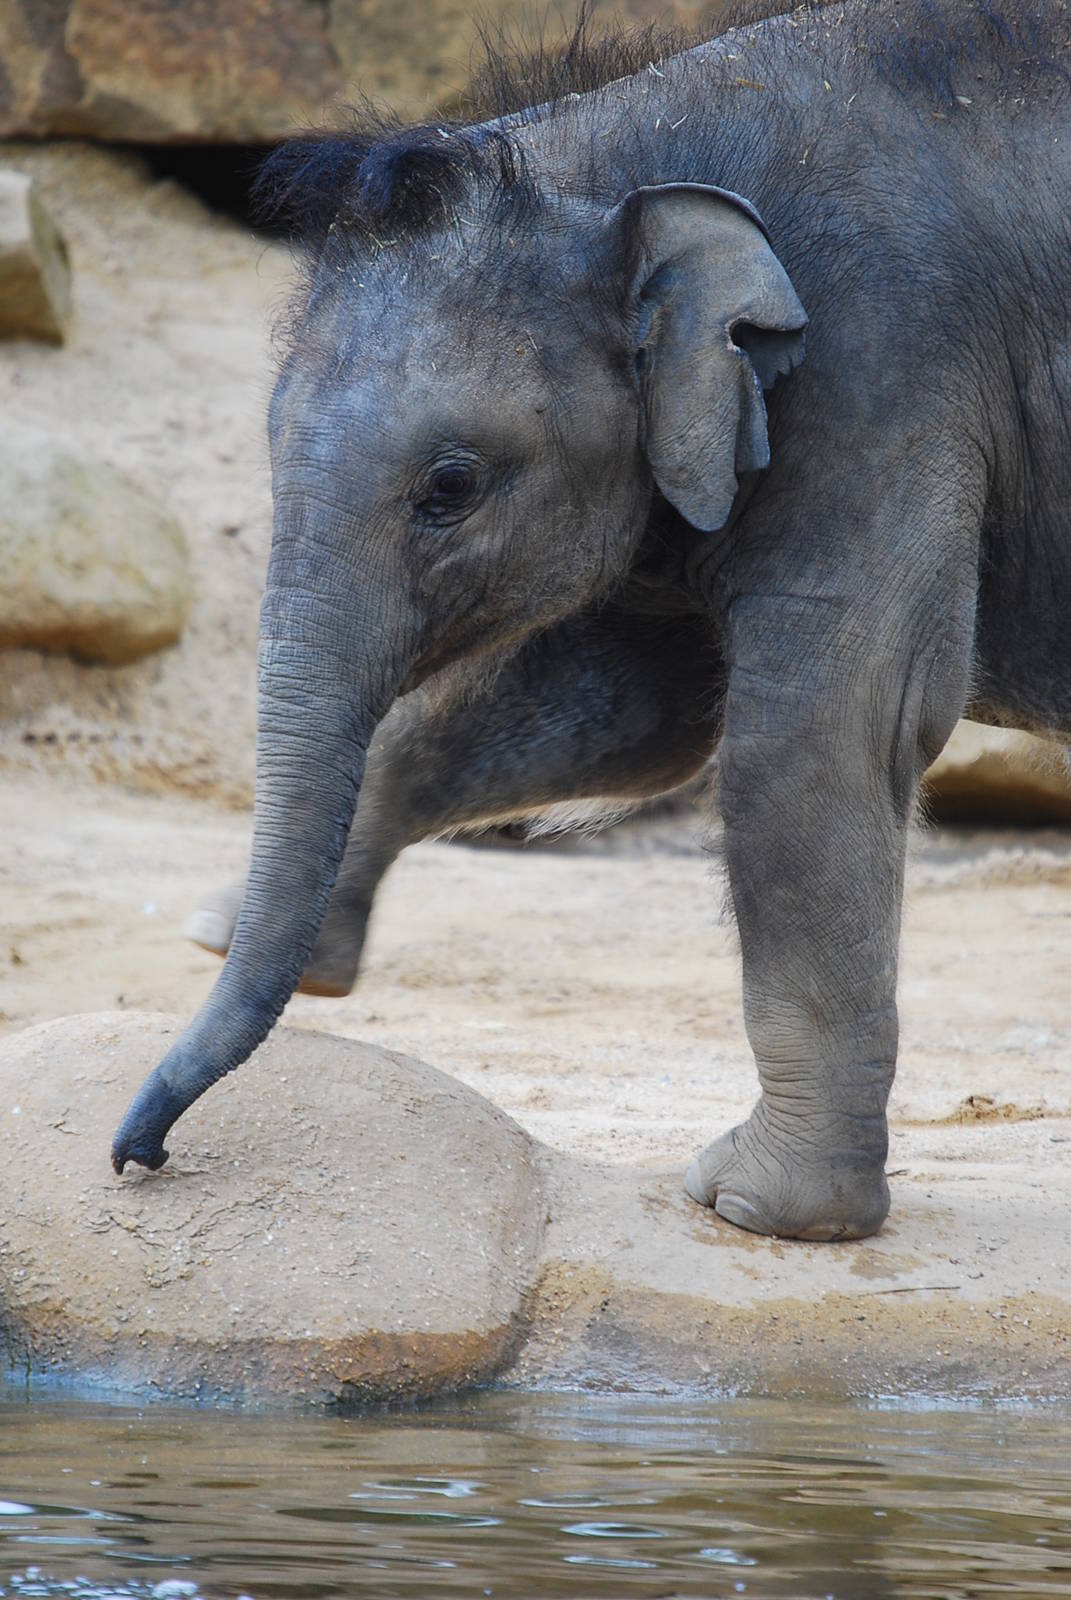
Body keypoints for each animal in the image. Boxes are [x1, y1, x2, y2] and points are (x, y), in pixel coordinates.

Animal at [112, 0, 1071, 1242]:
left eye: (451, 486)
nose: (139, 1154)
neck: (636, 145)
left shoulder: (887, 368)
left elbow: (816, 738)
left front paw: (757, 1208)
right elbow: (628, 713)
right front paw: (243, 942)